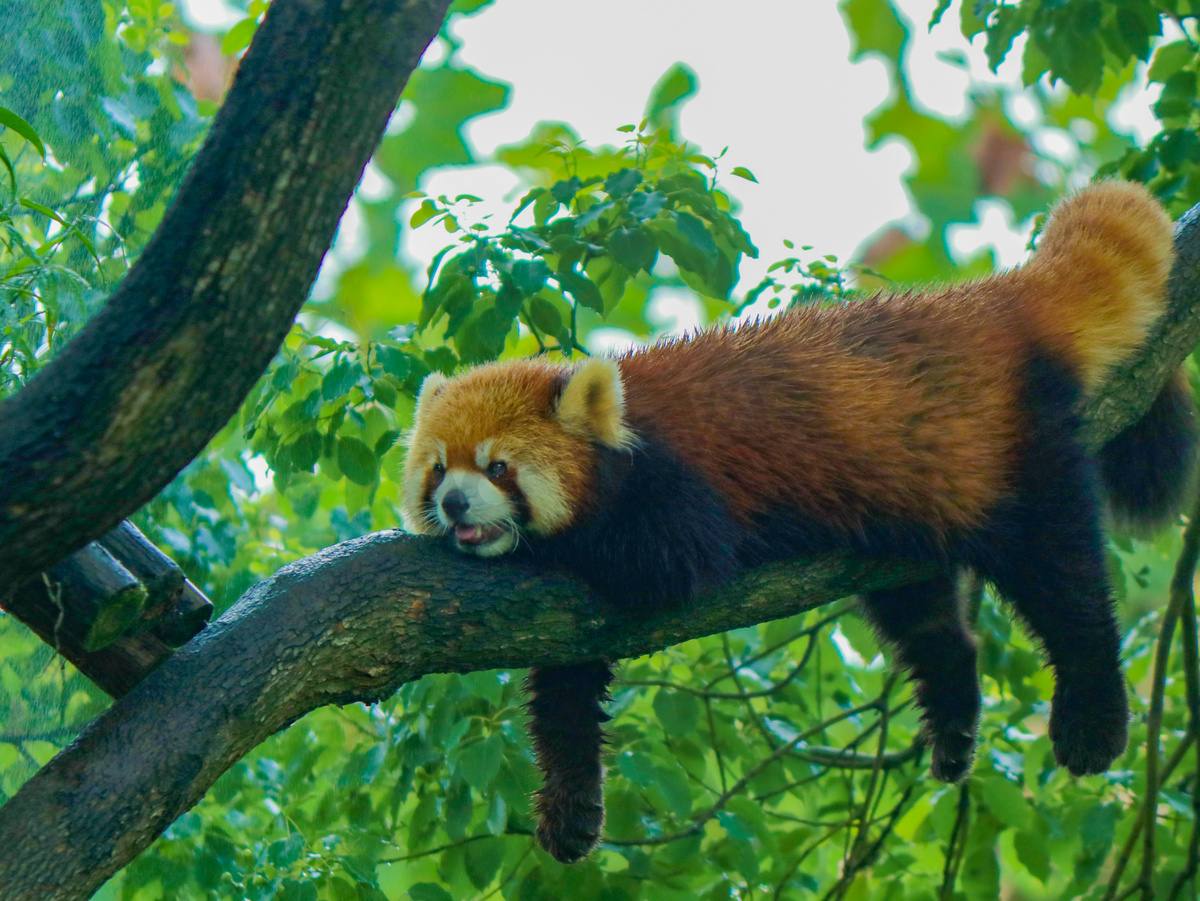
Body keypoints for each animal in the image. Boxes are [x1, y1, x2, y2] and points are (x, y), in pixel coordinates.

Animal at [400, 179, 1200, 863]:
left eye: (498, 467)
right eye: (438, 468)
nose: (454, 504)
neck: (625, 433)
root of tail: (995, 302)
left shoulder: (676, 492)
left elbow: (662, 562)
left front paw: (547, 545)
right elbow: (565, 696)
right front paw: (569, 810)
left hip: (1017, 453)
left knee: (1063, 575)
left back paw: (1092, 712)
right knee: (928, 621)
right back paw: (951, 714)